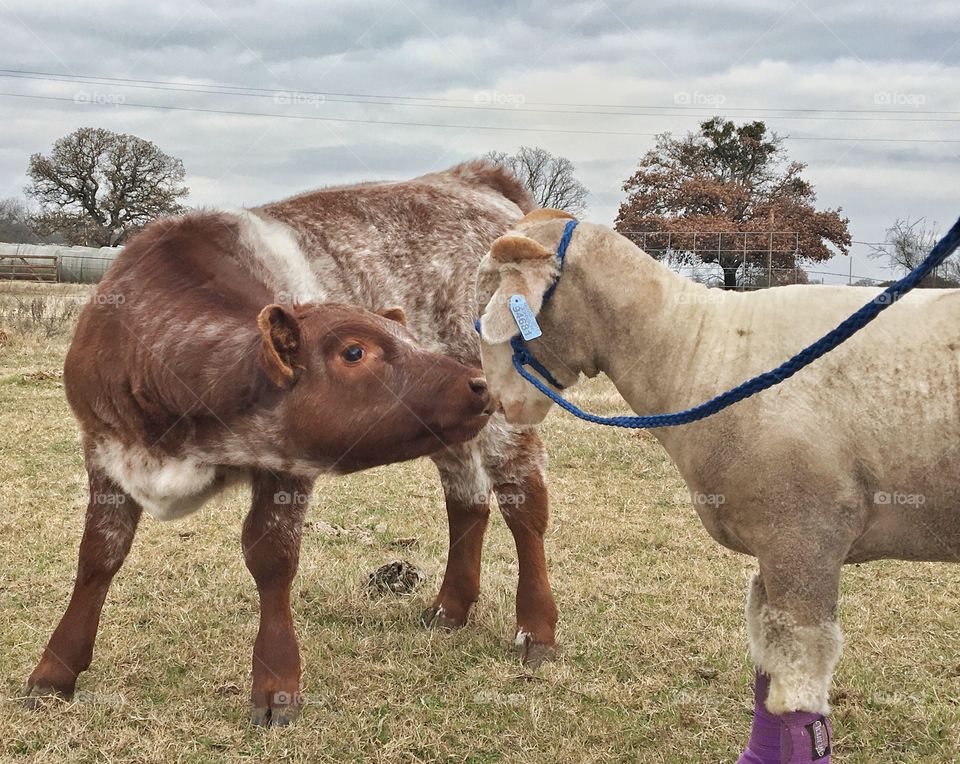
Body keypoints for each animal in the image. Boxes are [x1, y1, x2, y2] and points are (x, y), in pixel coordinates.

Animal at [475, 208, 960, 763]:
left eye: (491, 298)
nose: (493, 399)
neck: (695, 346)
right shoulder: (773, 548)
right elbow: (767, 676)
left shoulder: (803, 539)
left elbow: (798, 699)